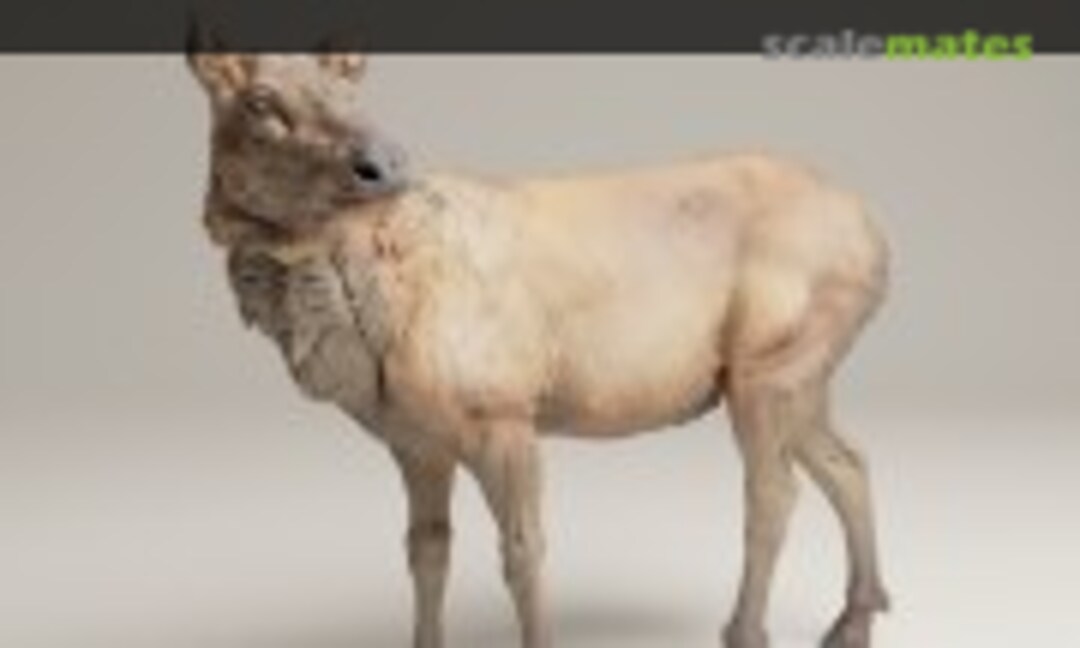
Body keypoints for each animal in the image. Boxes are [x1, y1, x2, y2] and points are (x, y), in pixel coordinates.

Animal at [187, 38, 892, 648]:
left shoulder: (502, 413)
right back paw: (855, 617)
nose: (383, 165)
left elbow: (523, 552)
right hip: (799, 373)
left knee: (774, 493)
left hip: (769, 364)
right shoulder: (413, 439)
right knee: (847, 461)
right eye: (260, 101)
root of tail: (877, 237)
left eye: (350, 89)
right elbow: (426, 549)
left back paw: (747, 630)